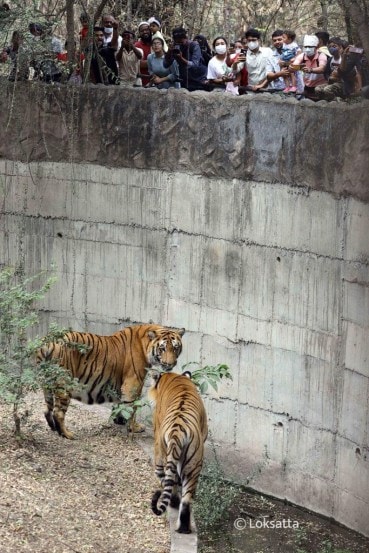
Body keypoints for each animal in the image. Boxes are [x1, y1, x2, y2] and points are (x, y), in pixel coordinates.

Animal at [36, 324, 184, 440]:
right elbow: (132, 407)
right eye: (162, 348)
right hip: (64, 384)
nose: (170, 364)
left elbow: (120, 404)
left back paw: (53, 428)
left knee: (47, 409)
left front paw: (119, 420)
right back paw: (67, 434)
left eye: (175, 348)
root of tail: (48, 342)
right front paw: (134, 427)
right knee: (58, 412)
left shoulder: (121, 385)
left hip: (47, 384)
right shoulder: (133, 383)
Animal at [149, 368, 207, 532]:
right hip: (193, 465)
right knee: (186, 499)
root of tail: (177, 432)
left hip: (164, 456)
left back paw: (173, 503)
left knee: (169, 481)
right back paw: (183, 528)